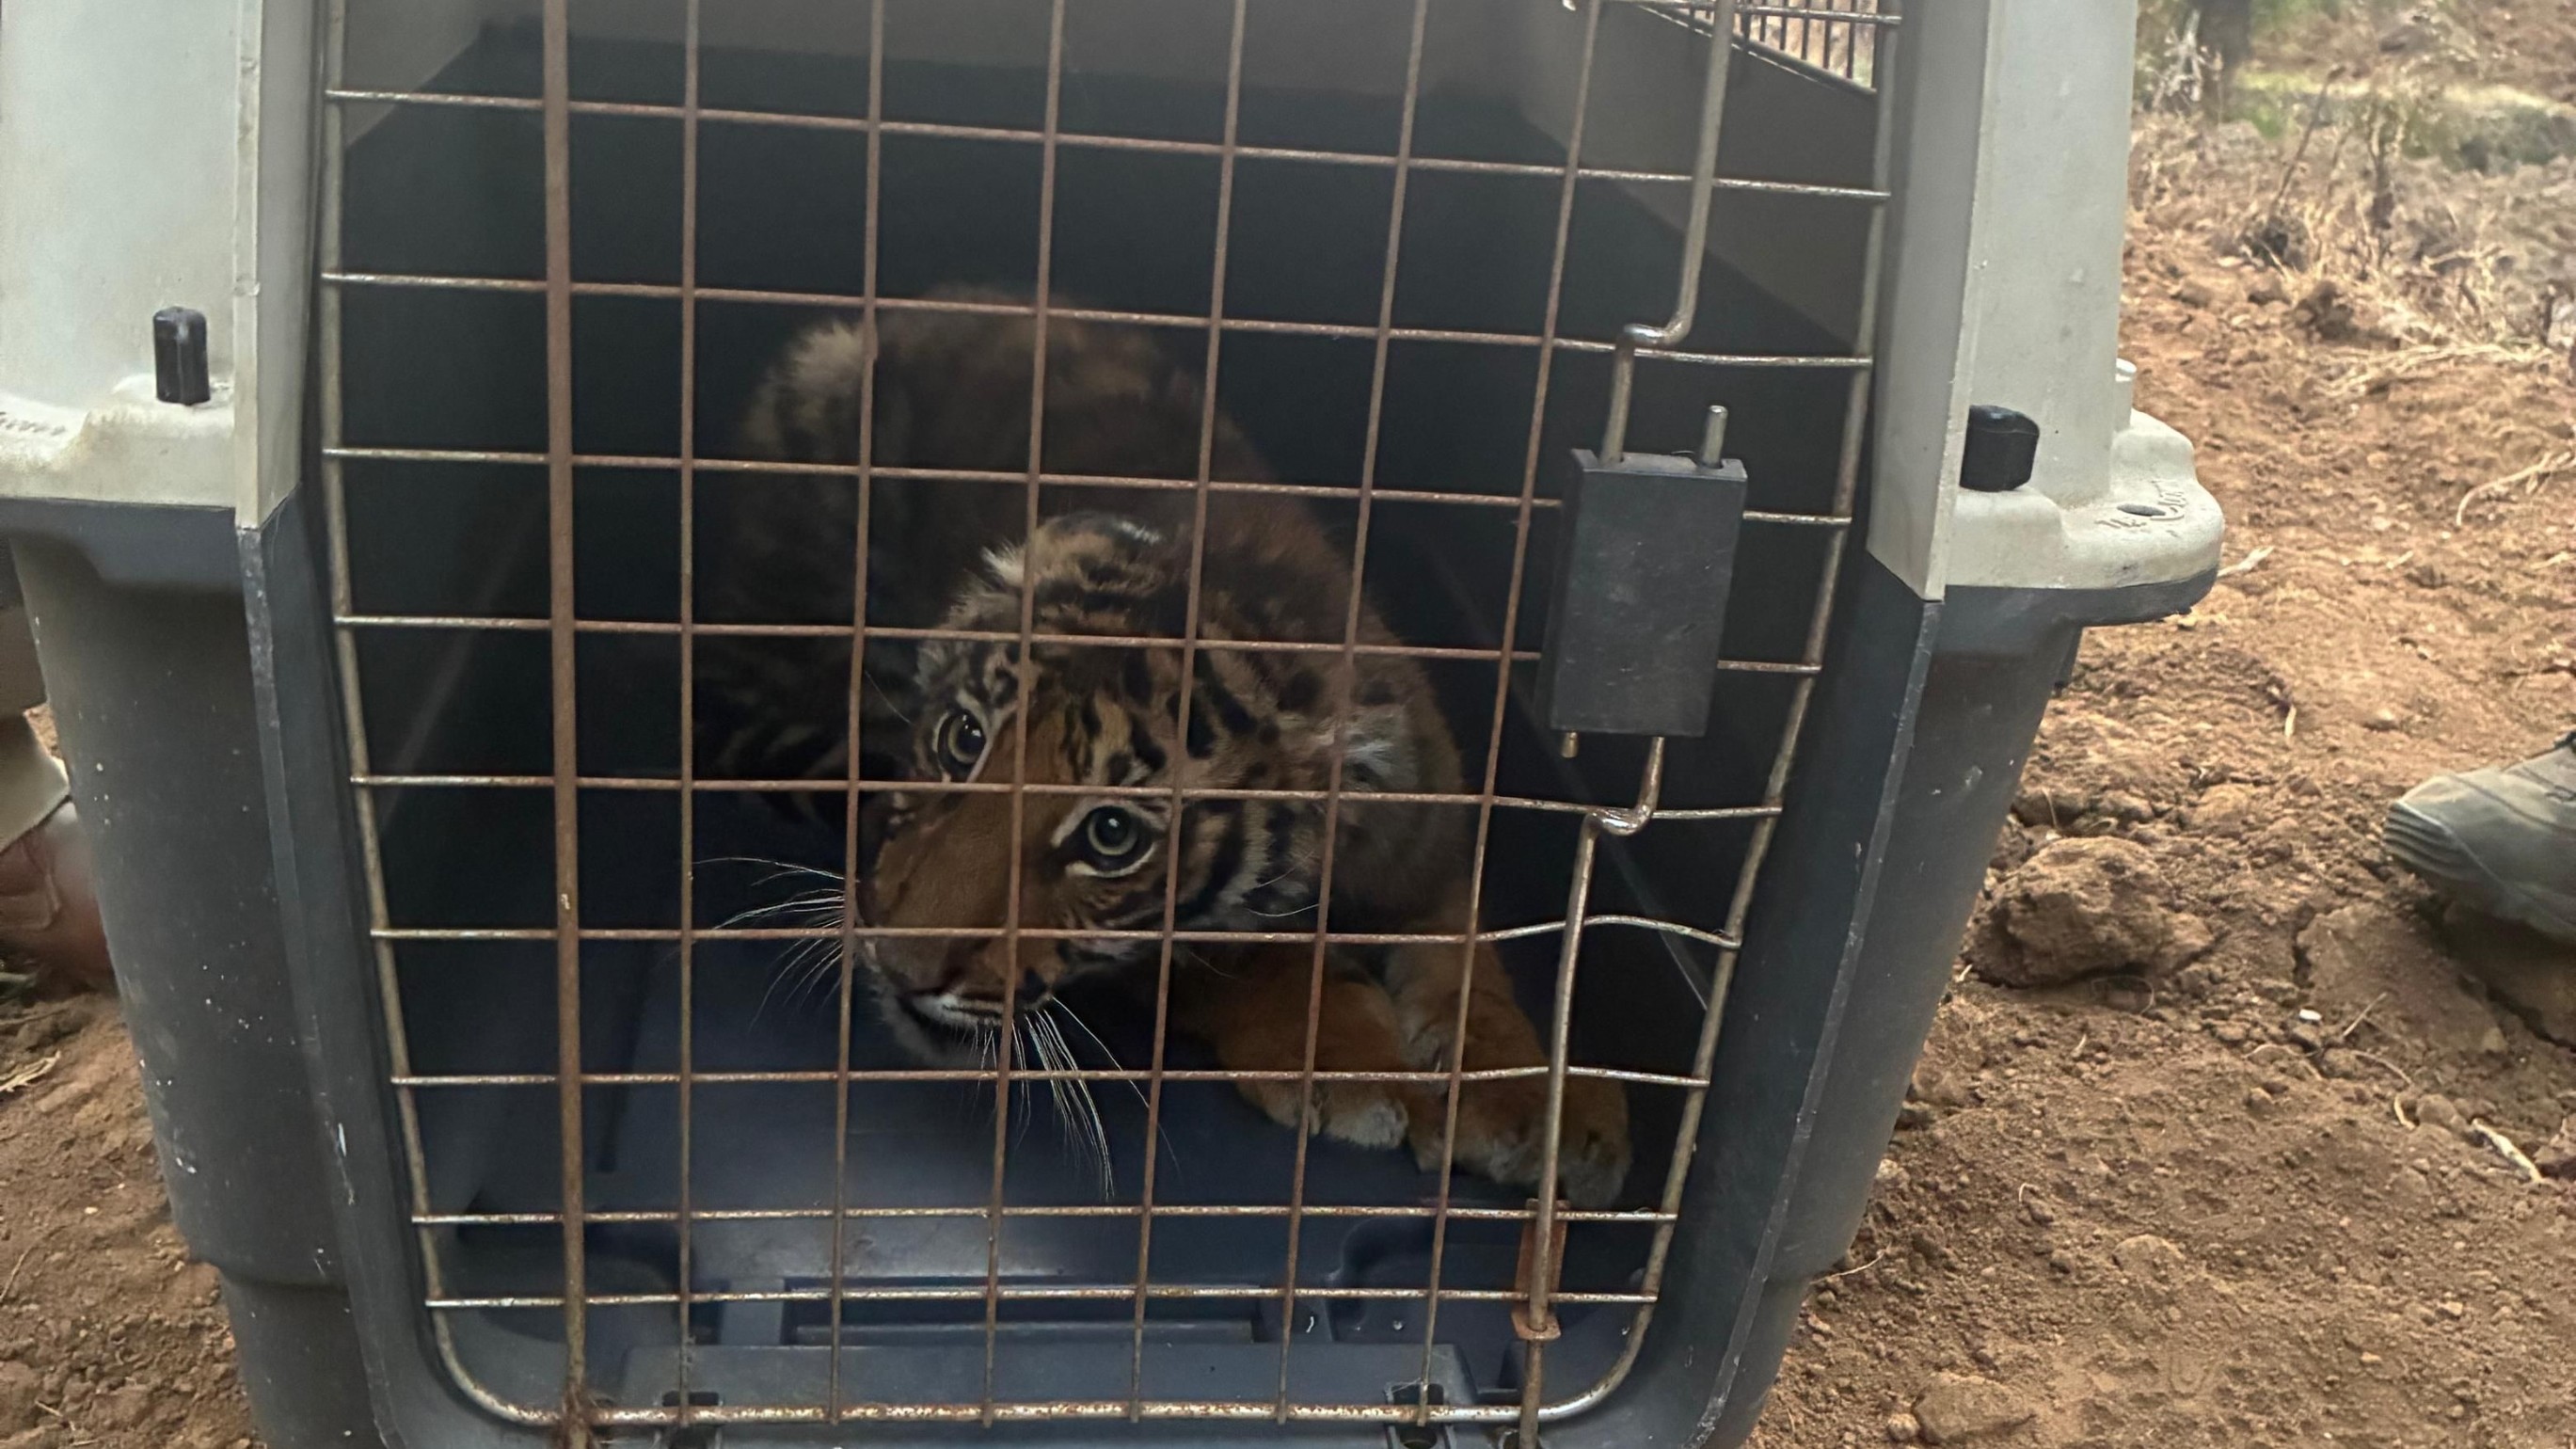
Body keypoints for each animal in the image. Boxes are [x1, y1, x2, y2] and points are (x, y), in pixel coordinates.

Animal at [715, 296, 1631, 1207]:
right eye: (963, 739)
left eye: (1111, 835)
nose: (900, 969)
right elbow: (1237, 966)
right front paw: (1354, 1065)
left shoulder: (1428, 850)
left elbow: (1473, 965)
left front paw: (1543, 1114)